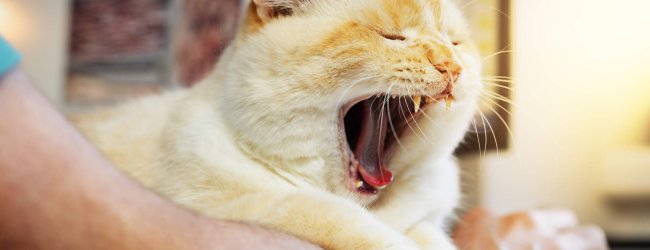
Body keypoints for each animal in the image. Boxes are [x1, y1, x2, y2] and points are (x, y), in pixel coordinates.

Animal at [73, 0, 484, 248]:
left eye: (455, 43)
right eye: (391, 37)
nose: (451, 67)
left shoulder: (426, 213)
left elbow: (428, 234)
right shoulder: (239, 204)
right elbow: (335, 216)